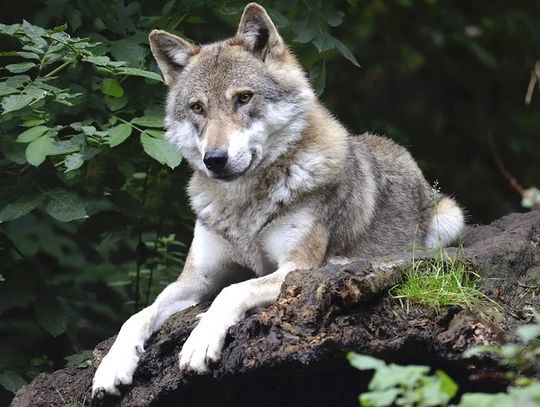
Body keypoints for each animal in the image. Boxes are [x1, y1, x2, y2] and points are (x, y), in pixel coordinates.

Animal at [92, 2, 464, 398]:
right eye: (197, 108)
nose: (214, 159)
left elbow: (231, 291)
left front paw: (199, 341)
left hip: (449, 218)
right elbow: (138, 315)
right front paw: (112, 366)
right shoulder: (196, 278)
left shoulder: (292, 268)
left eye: (243, 98)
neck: (243, 207)